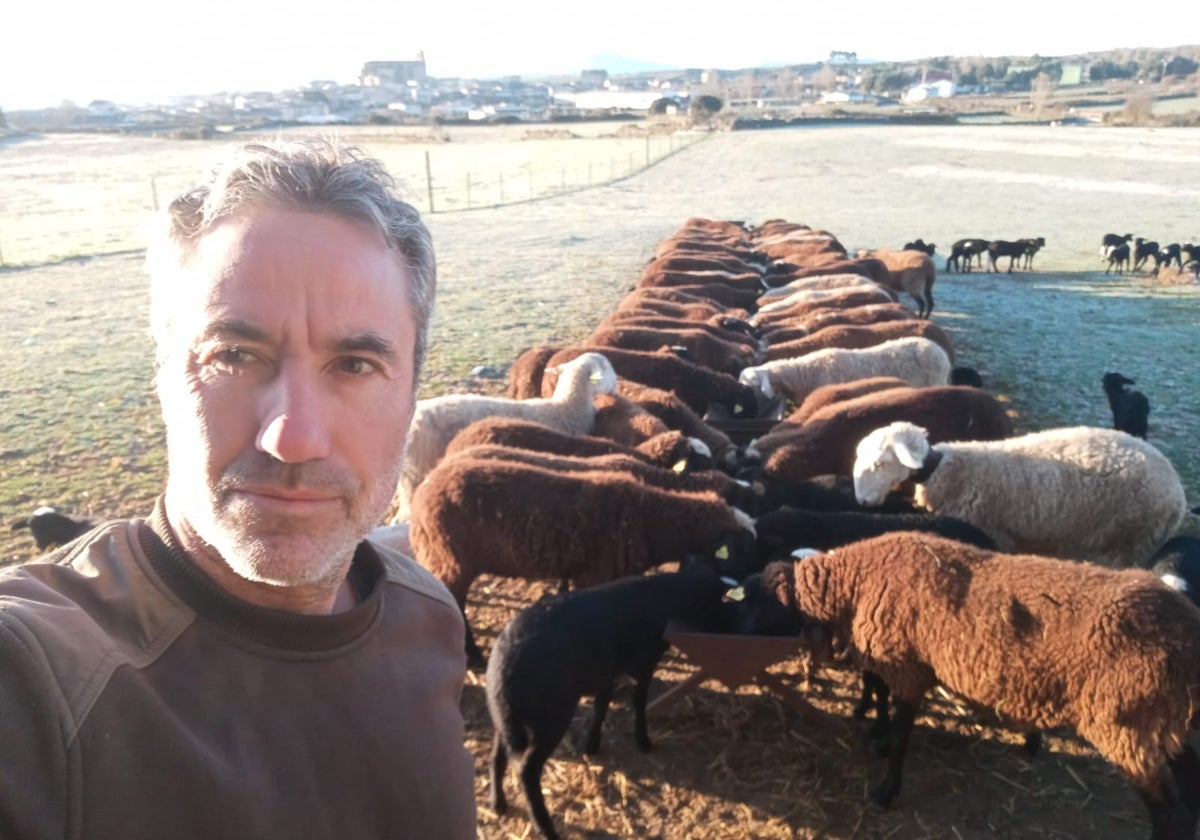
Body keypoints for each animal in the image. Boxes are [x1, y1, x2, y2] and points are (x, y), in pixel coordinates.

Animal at [854, 422, 1190, 568]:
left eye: (880, 463)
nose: (862, 501)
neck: (946, 471)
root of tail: (1177, 489)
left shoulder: (996, 533)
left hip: (1127, 541)